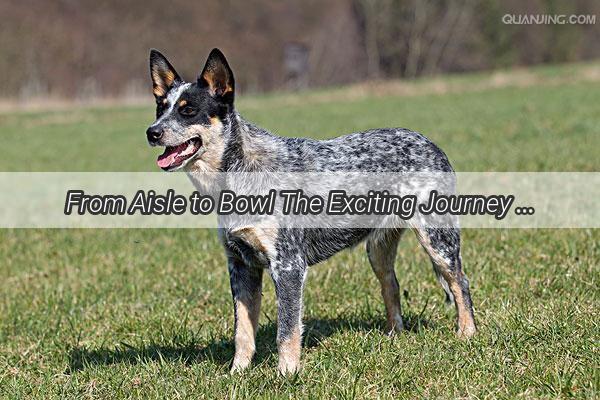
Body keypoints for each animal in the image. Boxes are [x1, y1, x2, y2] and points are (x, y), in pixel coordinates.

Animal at [146, 48, 478, 374]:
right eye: (161, 108)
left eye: (188, 110)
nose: (152, 132)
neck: (238, 175)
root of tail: (429, 142)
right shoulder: (240, 264)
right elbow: (242, 331)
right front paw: (237, 374)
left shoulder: (289, 265)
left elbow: (287, 331)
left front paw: (287, 374)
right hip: (377, 250)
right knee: (392, 285)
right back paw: (395, 335)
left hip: (438, 239)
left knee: (459, 283)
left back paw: (467, 334)